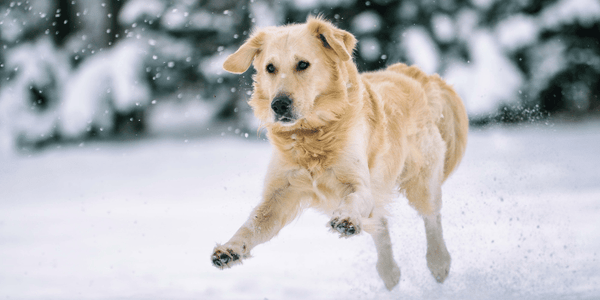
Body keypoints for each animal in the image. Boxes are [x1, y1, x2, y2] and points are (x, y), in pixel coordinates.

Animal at [211, 16, 468, 290]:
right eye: (270, 68)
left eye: (303, 64)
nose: (278, 105)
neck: (311, 135)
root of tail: (412, 74)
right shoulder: (279, 195)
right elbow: (252, 225)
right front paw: (230, 249)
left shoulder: (359, 183)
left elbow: (353, 200)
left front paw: (345, 220)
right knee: (380, 225)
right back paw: (389, 272)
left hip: (422, 180)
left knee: (432, 218)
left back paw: (438, 262)